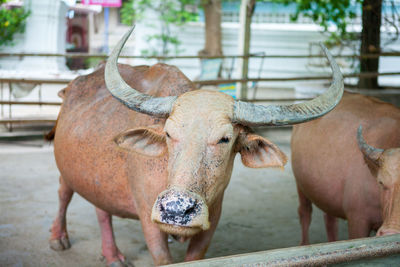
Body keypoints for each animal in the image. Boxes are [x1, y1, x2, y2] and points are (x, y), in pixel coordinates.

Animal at [48, 26, 344, 266]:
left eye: (225, 139)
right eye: (169, 134)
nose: (176, 210)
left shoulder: (211, 223)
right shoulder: (149, 219)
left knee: (101, 209)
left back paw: (112, 255)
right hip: (64, 166)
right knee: (63, 193)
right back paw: (58, 238)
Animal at [290, 91, 400, 245]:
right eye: (381, 182)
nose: (390, 233)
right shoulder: (357, 219)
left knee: (330, 220)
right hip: (300, 184)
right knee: (304, 213)